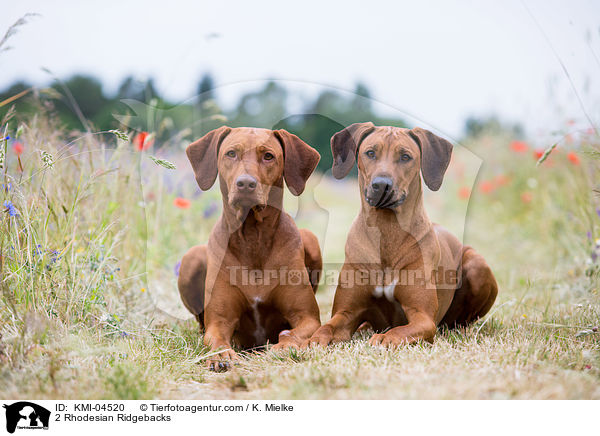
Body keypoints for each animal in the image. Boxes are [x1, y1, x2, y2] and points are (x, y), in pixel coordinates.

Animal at [179, 127, 324, 372]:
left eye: (268, 156)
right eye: (231, 153)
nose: (245, 184)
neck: (254, 237)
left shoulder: (308, 317)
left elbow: (292, 333)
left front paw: (282, 347)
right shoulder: (219, 320)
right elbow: (215, 337)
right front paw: (221, 355)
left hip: (311, 239)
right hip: (191, 258)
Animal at [304, 122, 496, 348]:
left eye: (405, 156)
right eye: (370, 153)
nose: (381, 185)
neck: (387, 229)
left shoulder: (422, 317)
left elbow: (400, 331)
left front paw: (384, 338)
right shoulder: (346, 312)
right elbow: (327, 327)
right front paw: (311, 340)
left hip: (476, 265)